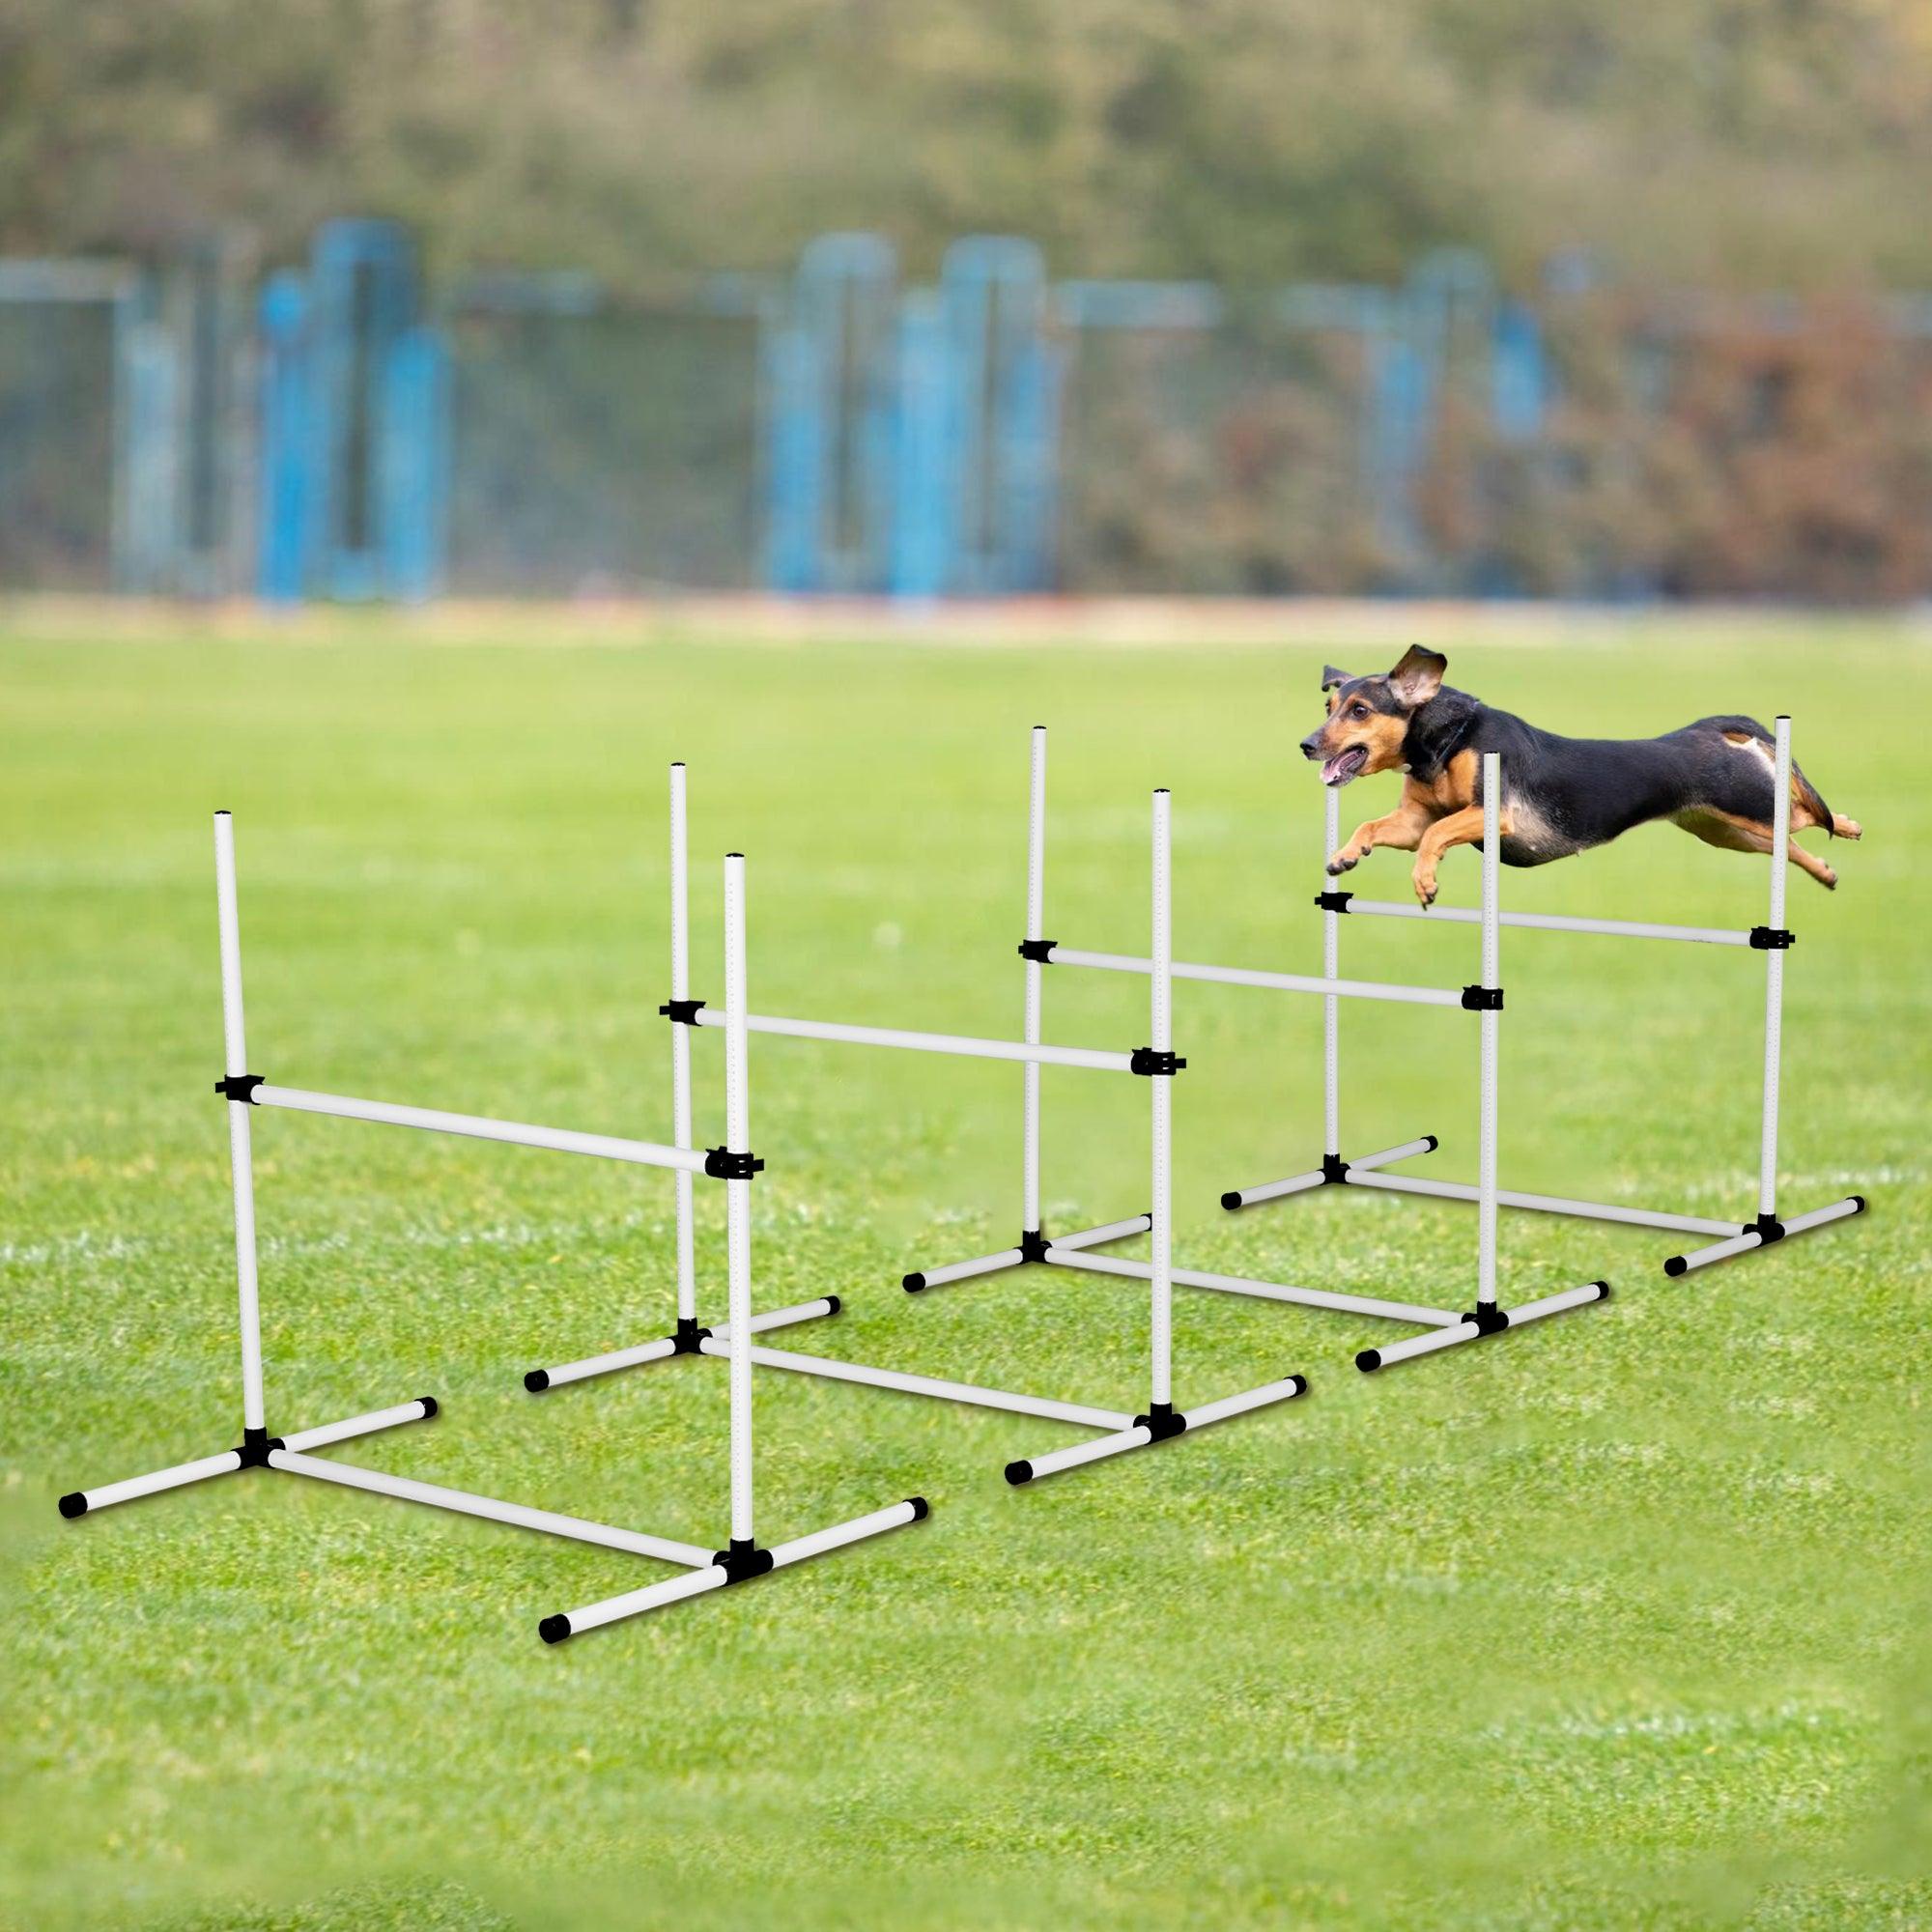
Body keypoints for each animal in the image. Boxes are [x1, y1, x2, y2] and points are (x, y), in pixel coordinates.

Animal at [1298, 649, 1855, 912]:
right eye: (1329, 708)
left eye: (1360, 710)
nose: (1306, 744)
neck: (1447, 740)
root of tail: (1708, 729)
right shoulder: (1413, 820)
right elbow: (1375, 827)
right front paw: (1345, 856)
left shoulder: (1493, 815)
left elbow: (1436, 836)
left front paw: (1426, 882)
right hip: (1723, 831)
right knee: (1789, 845)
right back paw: (1828, 871)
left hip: (1747, 807)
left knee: (1803, 817)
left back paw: (1847, 825)